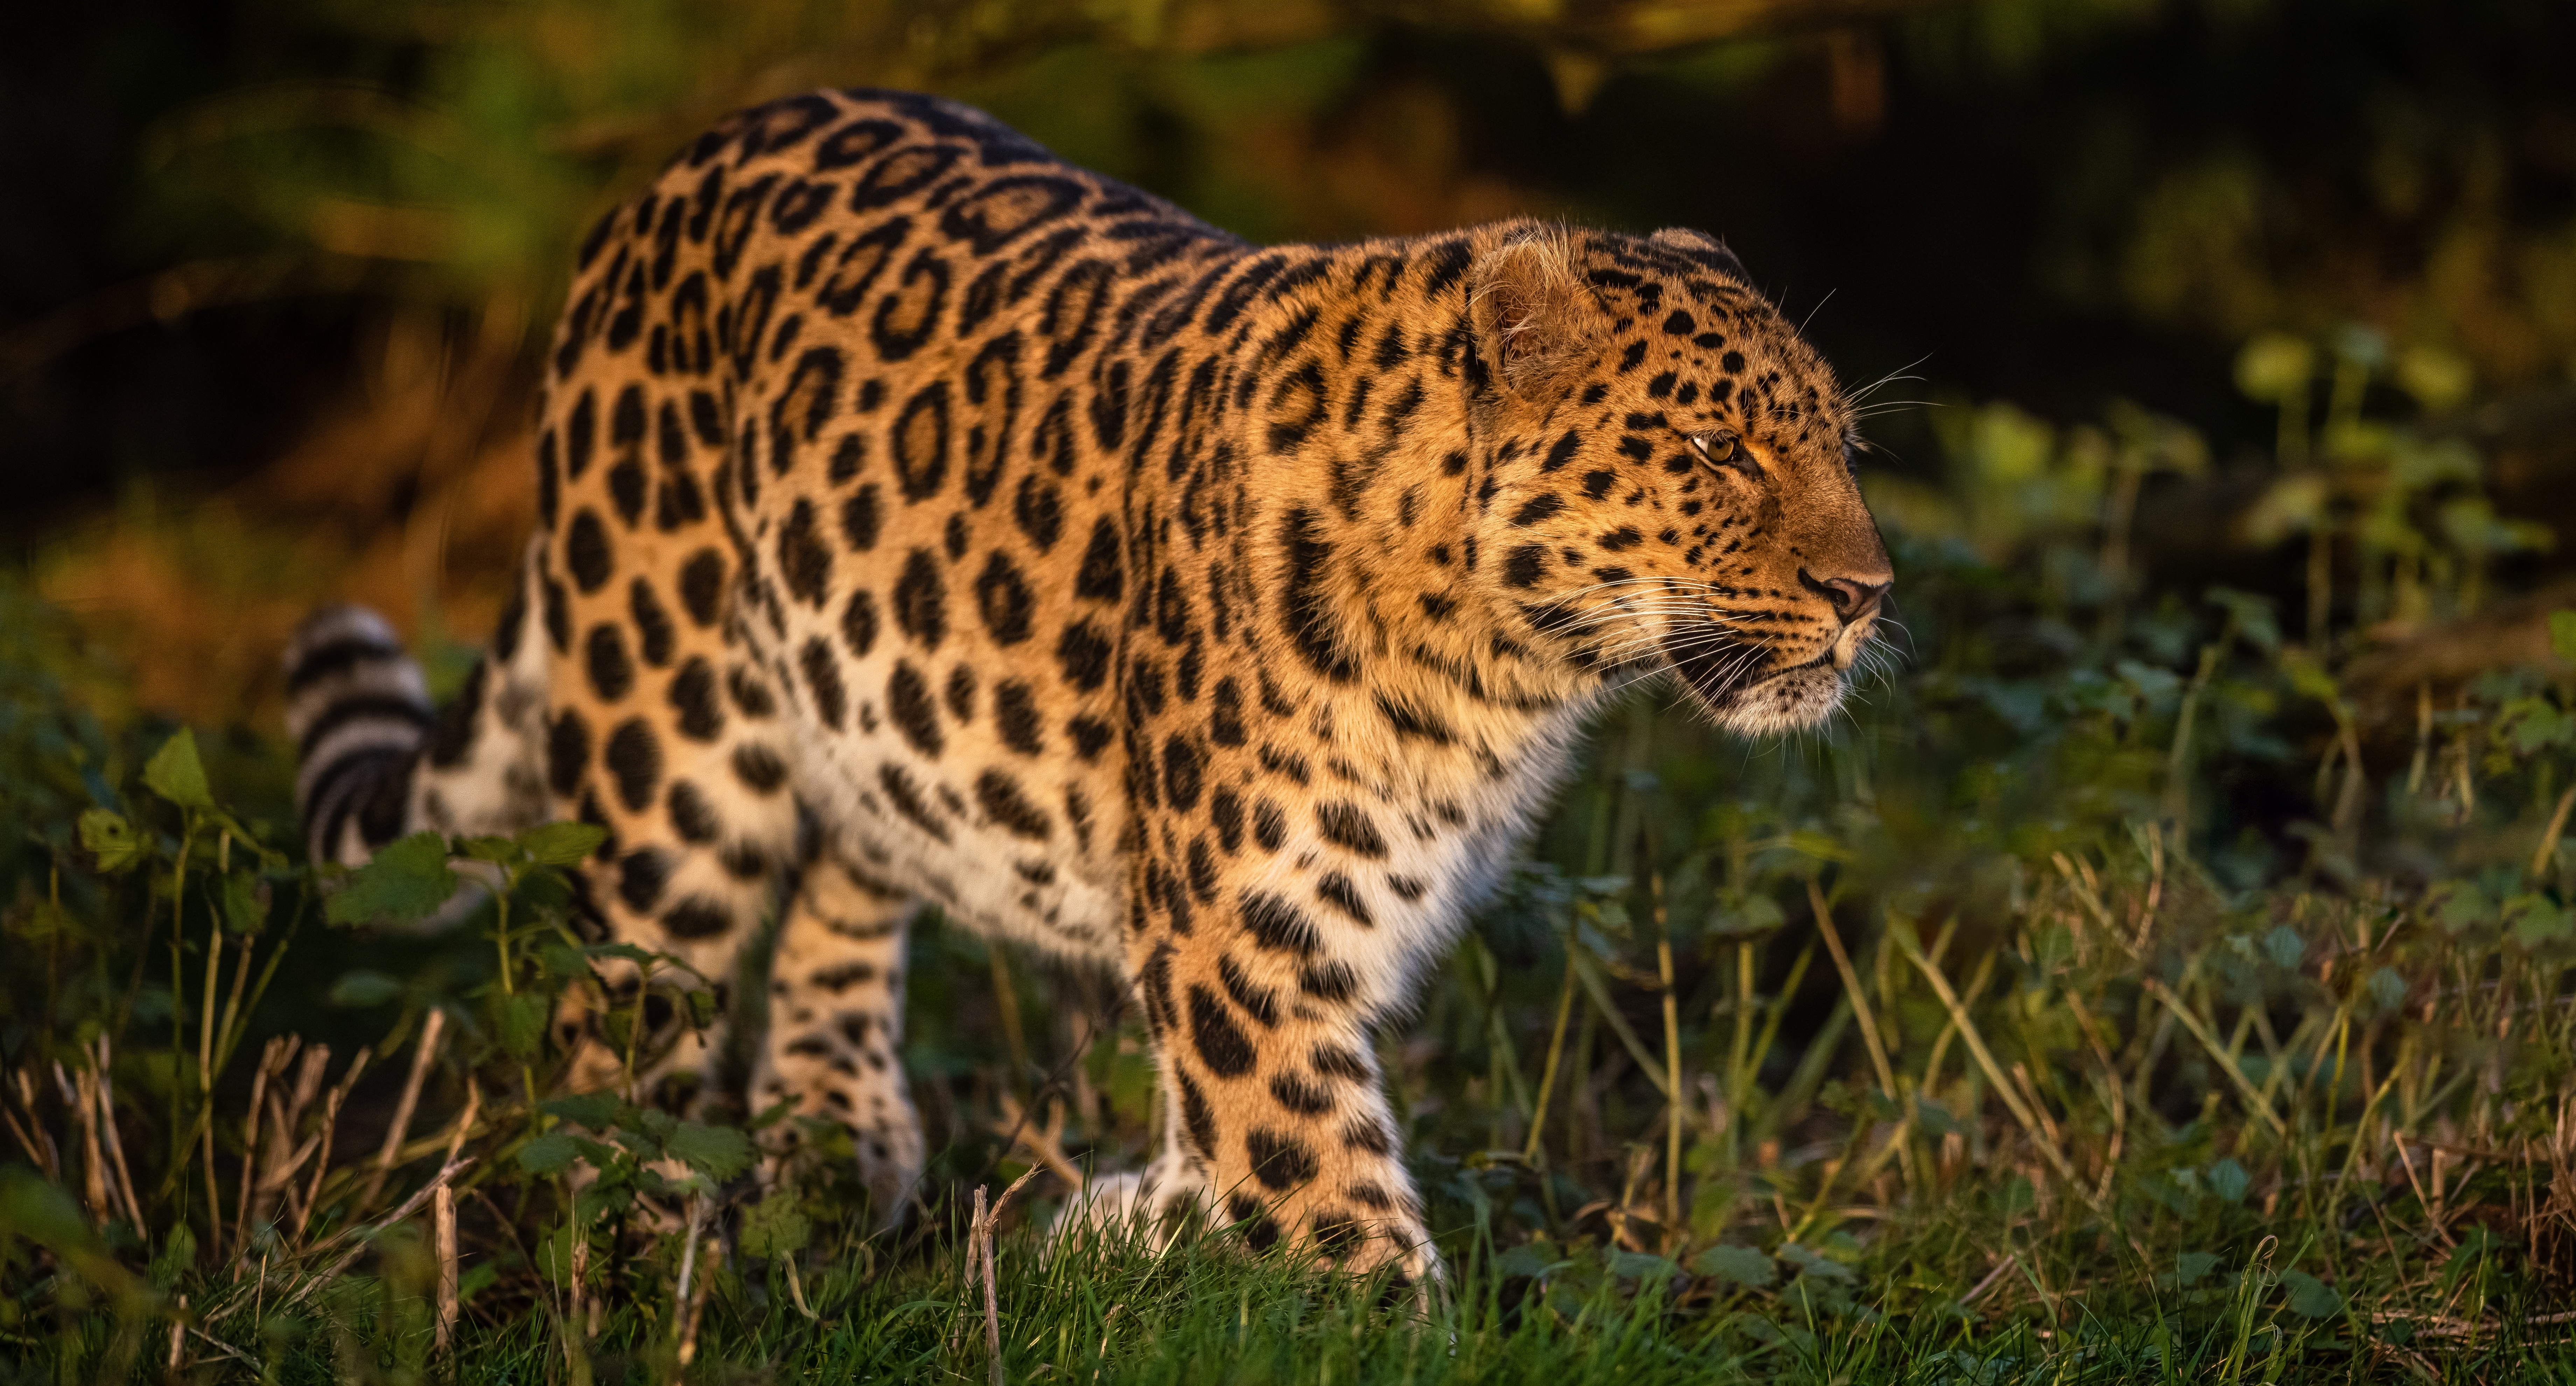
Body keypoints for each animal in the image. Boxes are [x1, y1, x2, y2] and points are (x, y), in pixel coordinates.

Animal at [282, 84, 1896, 1273]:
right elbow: (1324, 1184)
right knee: (615, 1017)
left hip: (875, 698)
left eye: (1838, 444)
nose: (1867, 594)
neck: (1503, 667)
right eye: (1714, 455)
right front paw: (1369, 1311)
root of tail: (669, 173)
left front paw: (1117, 1228)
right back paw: (645, 1245)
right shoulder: (1247, 930)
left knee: (843, 883)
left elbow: (1233, 1141)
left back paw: (836, 1141)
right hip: (669, 748)